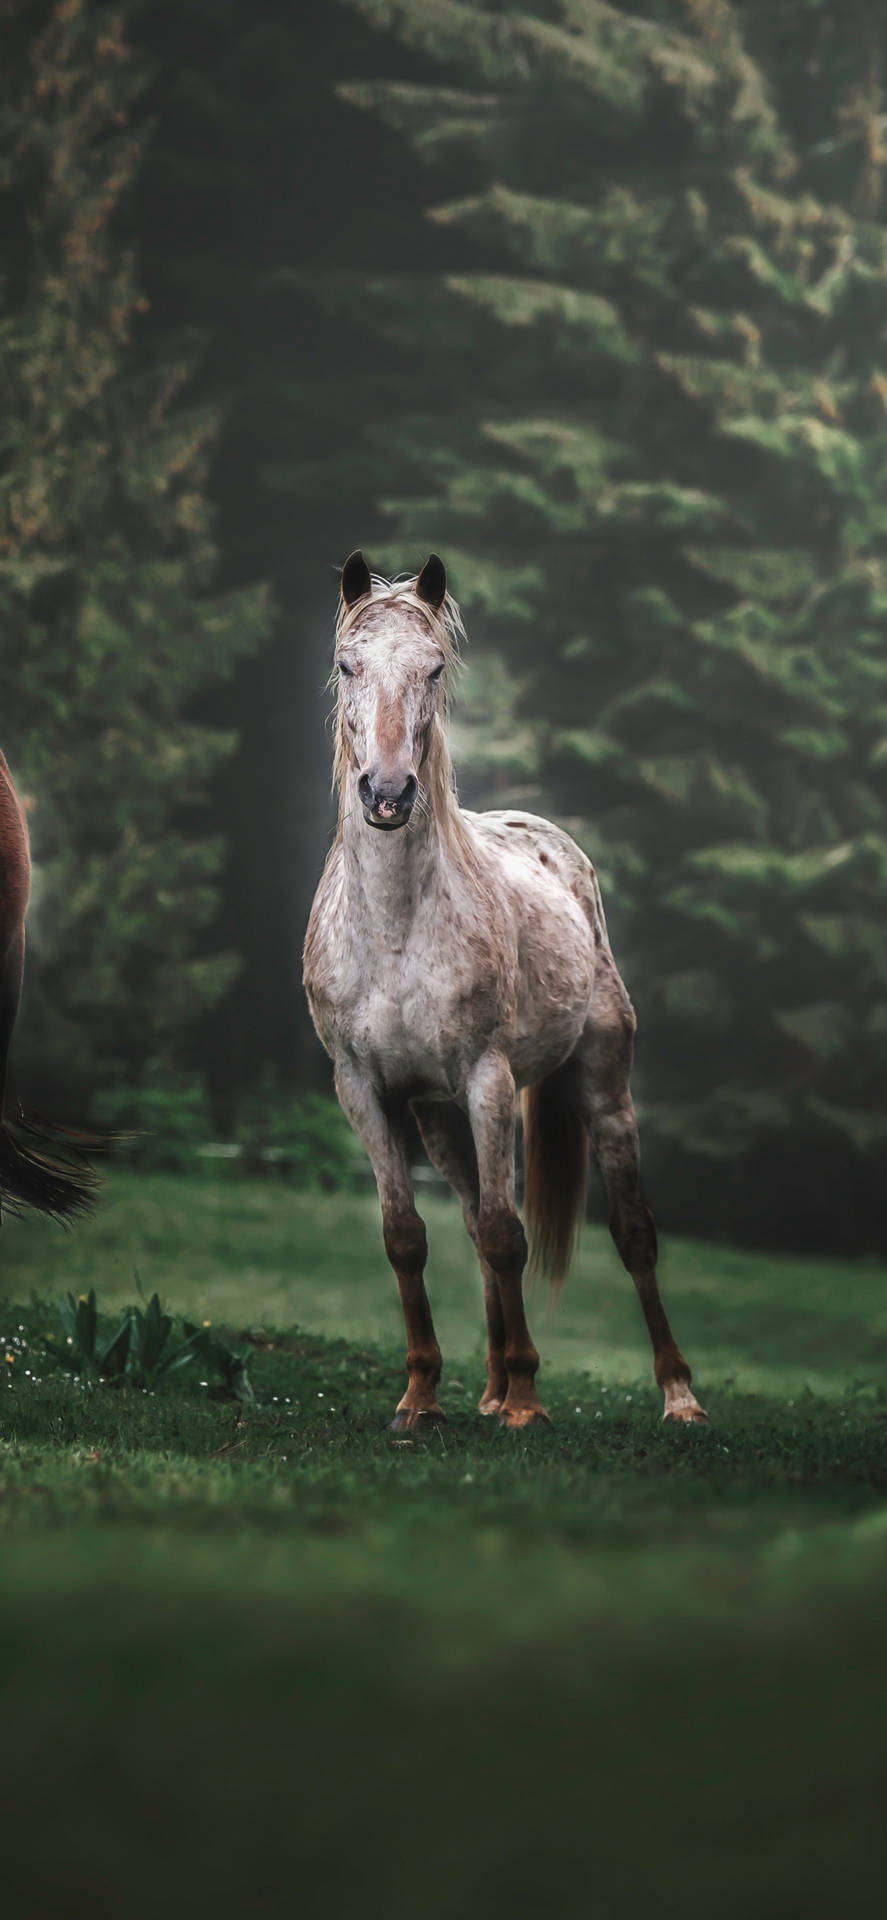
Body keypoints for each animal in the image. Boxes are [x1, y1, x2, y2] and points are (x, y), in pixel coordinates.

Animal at [305, 552, 706, 1428]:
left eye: (433, 667)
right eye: (346, 665)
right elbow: (407, 1237)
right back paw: (485, 1389)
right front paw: (421, 1396)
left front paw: (527, 1397)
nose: (388, 794)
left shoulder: (486, 1079)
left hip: (601, 1089)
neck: (394, 928)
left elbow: (506, 1234)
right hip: (439, 1117)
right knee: (464, 1221)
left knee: (629, 1232)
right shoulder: (365, 1090)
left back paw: (677, 1395)